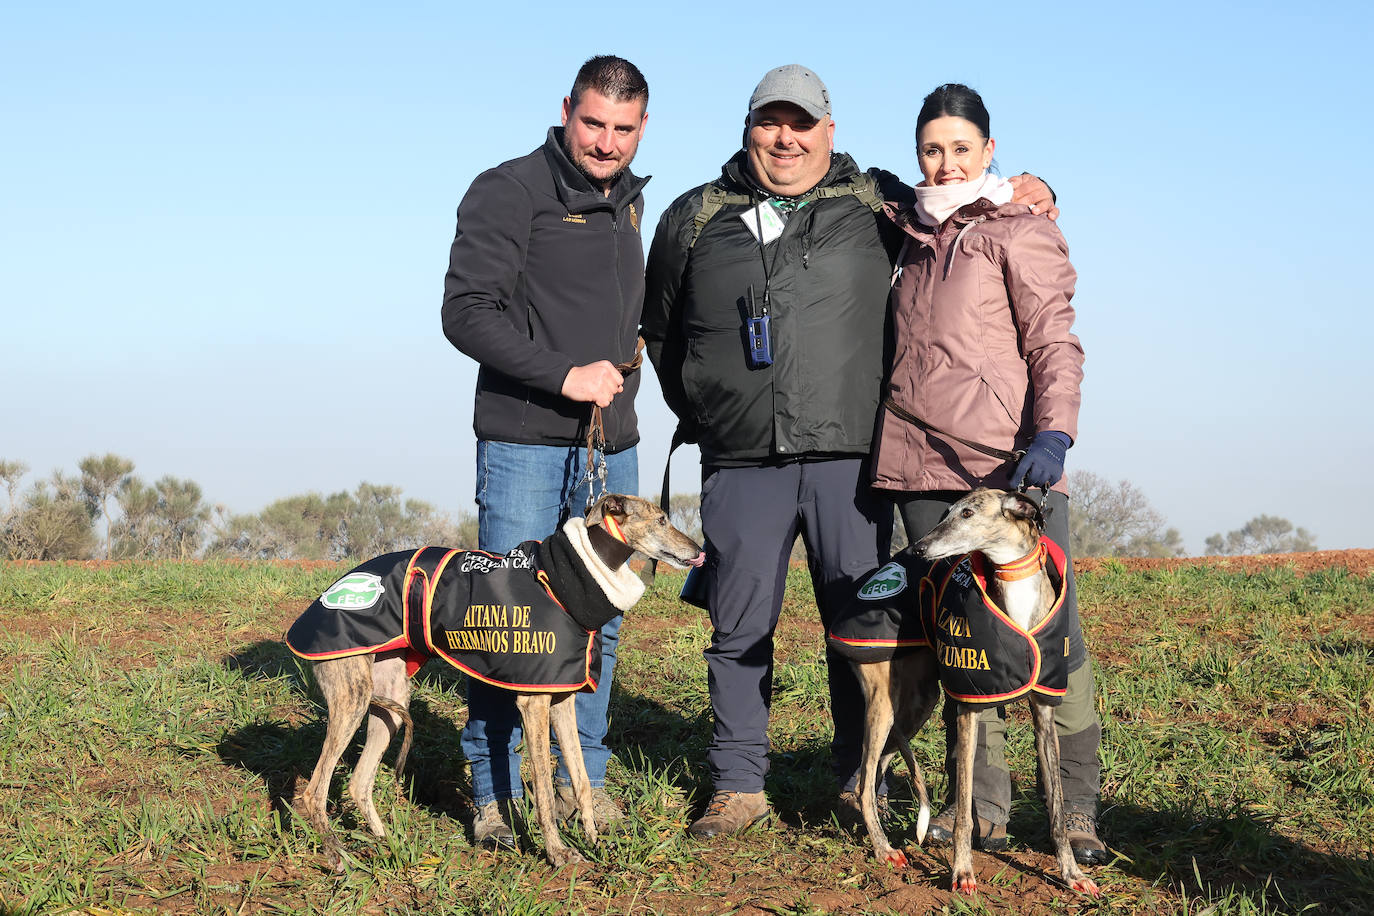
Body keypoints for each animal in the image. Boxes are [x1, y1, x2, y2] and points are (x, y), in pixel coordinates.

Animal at [285, 497, 703, 873]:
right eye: (662, 519)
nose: (699, 551)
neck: (565, 582)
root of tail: (325, 596)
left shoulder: (562, 701)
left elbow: (582, 780)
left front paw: (594, 841)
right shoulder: (534, 704)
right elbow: (545, 795)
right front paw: (558, 854)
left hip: (391, 699)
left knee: (358, 782)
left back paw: (389, 845)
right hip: (352, 695)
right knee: (313, 791)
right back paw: (338, 857)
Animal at [840, 491, 1099, 900]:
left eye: (967, 513)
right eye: (944, 512)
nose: (919, 549)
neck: (1015, 589)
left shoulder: (1044, 709)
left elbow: (1056, 809)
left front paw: (1071, 873)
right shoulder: (969, 708)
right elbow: (963, 810)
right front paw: (962, 872)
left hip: (916, 704)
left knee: (877, 766)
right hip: (884, 702)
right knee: (865, 782)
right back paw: (884, 849)